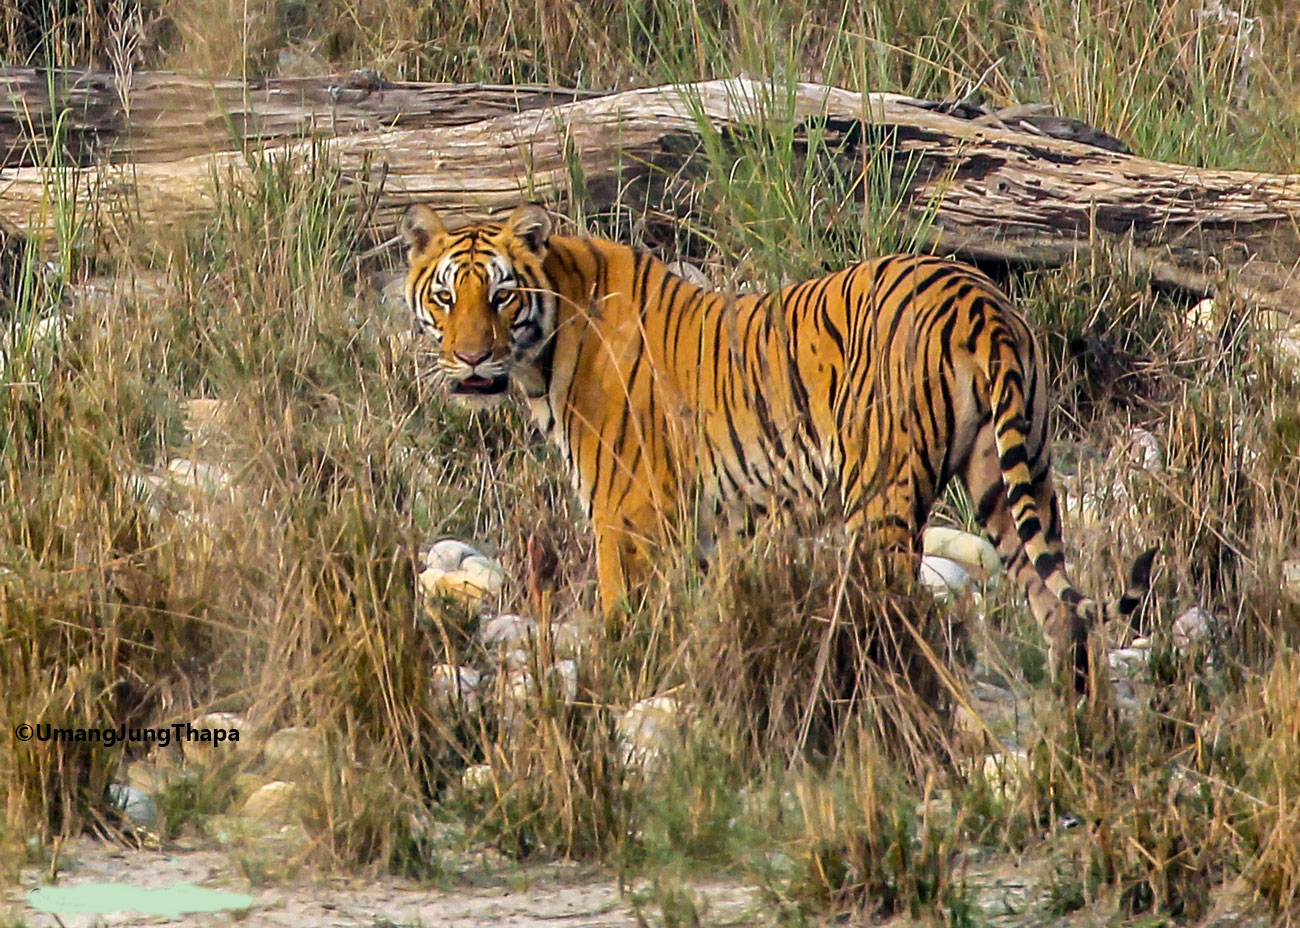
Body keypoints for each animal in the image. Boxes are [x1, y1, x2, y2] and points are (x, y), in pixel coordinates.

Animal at [400, 206, 1154, 691]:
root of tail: (977, 296)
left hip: (881, 494)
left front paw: (618, 684)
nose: (471, 358)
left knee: (897, 610)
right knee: (1063, 611)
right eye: (446, 298)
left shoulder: (627, 516)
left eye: (501, 297)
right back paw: (1074, 738)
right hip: (1011, 476)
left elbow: (622, 615)